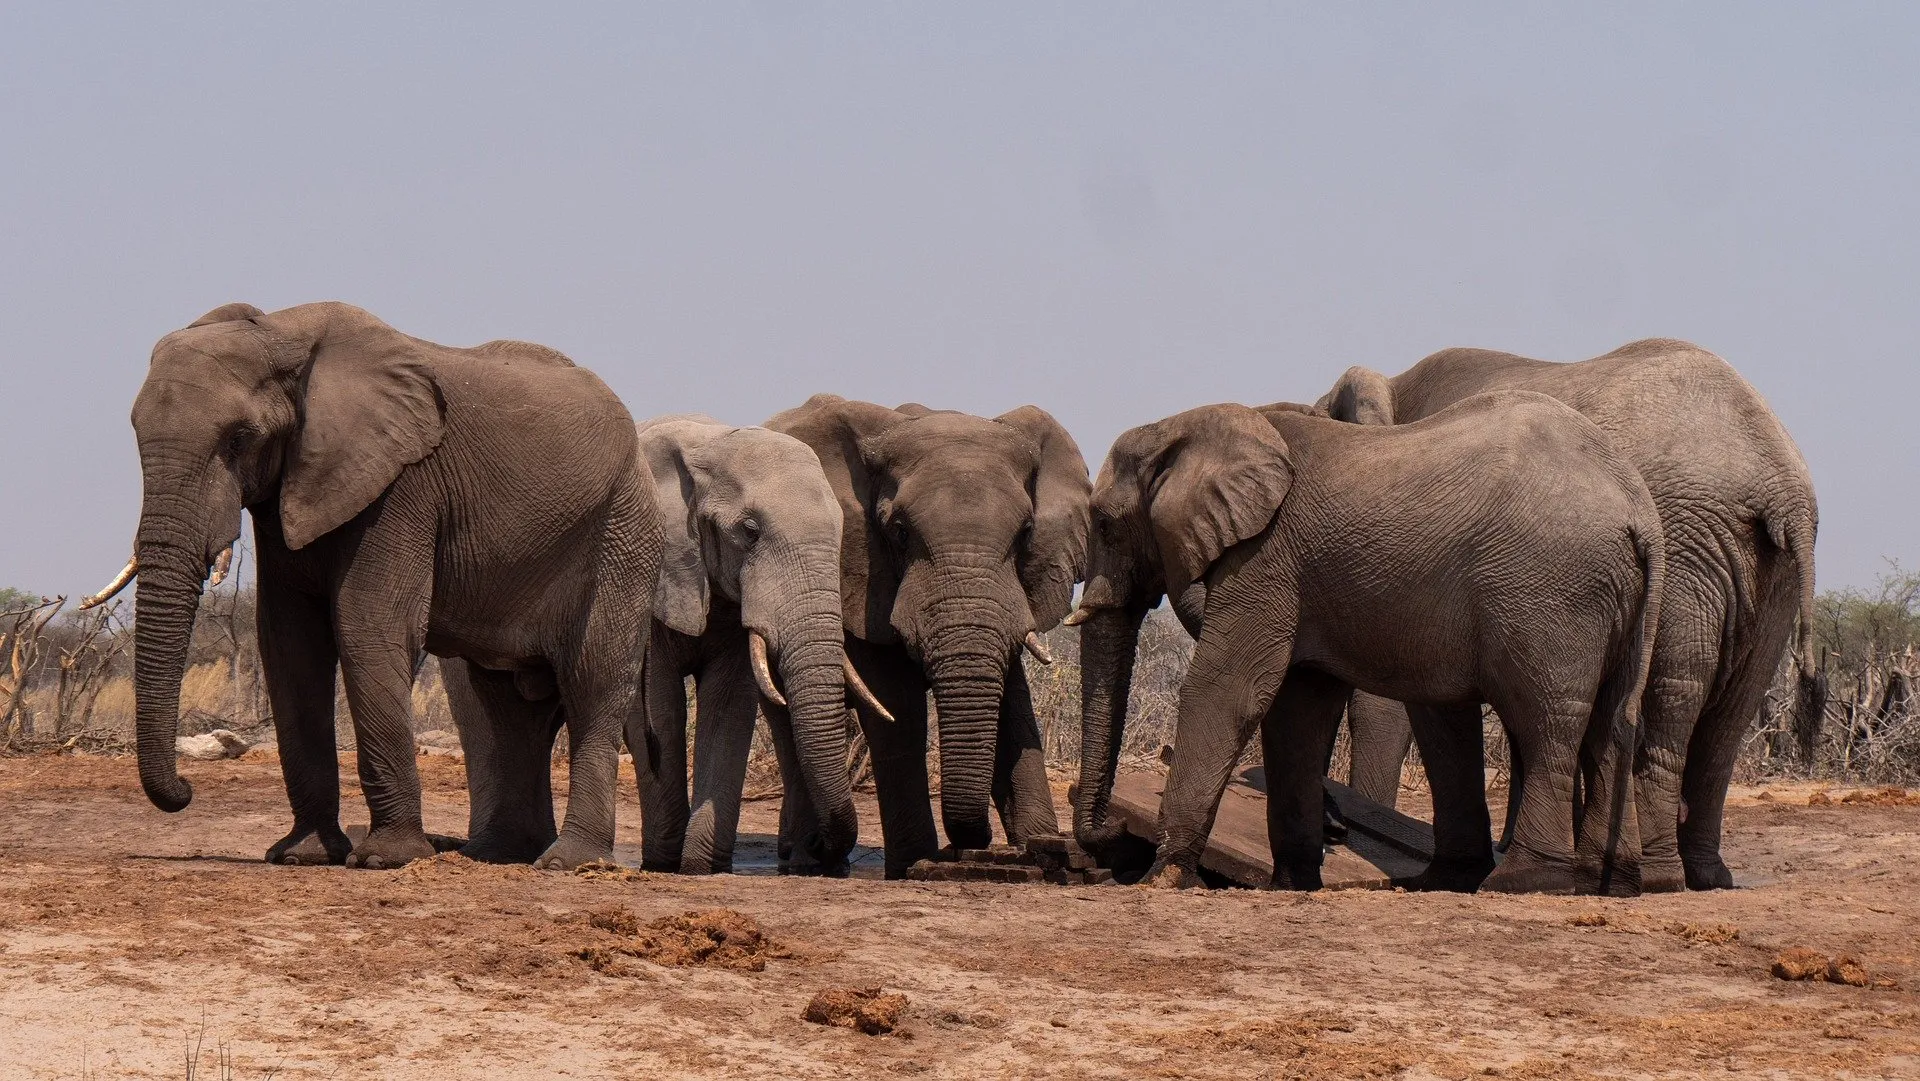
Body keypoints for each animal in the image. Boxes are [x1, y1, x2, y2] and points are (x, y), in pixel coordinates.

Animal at [101, 303, 664, 871]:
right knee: (509, 707)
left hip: (623, 533)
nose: (187, 789)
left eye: (239, 438)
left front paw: (385, 859)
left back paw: (569, 862)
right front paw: (302, 856)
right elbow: (289, 645)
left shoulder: (402, 487)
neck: (285, 334)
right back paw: (499, 855)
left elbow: (368, 627)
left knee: (591, 682)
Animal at [768, 395, 1098, 879]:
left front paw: (1041, 849)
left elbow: (1013, 704)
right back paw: (804, 857)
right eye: (900, 532)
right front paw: (914, 863)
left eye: (1025, 533)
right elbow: (896, 704)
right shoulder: (864, 576)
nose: (973, 843)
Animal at [1067, 397, 1666, 898]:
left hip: (1552, 594)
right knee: (1610, 724)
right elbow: (1298, 711)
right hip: (1612, 598)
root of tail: (1639, 510)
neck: (1188, 426)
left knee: (1547, 723)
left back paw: (1522, 882)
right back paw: (1605, 884)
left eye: (1106, 524)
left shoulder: (1265, 559)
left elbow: (1229, 689)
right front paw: (1293, 884)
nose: (1113, 828)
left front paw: (1163, 878)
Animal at [1320, 341, 1812, 890]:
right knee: (1729, 714)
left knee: (1671, 693)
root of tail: (1782, 484)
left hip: (1688, 545)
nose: (1338, 829)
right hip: (1767, 573)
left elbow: (1399, 699)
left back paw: (1657, 875)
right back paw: (1703, 876)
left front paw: (1447, 876)